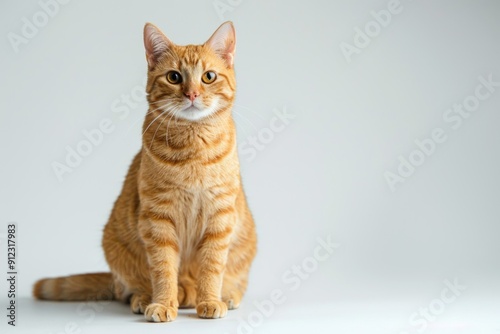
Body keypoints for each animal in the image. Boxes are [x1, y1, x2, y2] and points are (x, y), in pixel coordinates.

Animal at [34, 20, 258, 320]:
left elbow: (212, 266)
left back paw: (226, 295)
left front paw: (210, 300)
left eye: (208, 77)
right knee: (129, 288)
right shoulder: (158, 218)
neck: (193, 148)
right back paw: (144, 298)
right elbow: (163, 268)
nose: (192, 94)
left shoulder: (219, 216)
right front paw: (163, 303)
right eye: (174, 77)